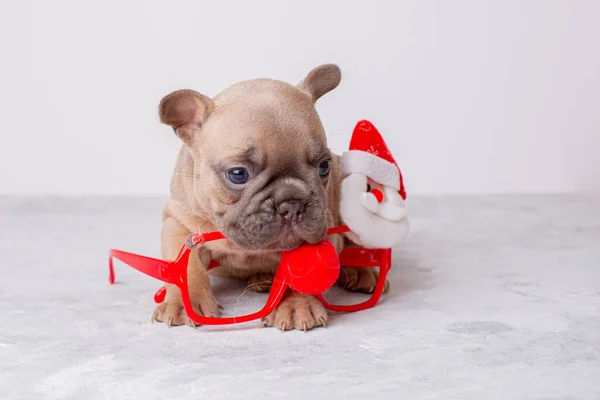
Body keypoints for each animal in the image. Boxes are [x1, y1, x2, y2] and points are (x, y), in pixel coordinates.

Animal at [152, 63, 378, 332]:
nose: (292, 203)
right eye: (238, 174)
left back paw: (360, 271)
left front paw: (296, 305)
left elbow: (297, 272)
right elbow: (186, 268)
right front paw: (184, 302)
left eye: (324, 167)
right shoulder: (178, 223)